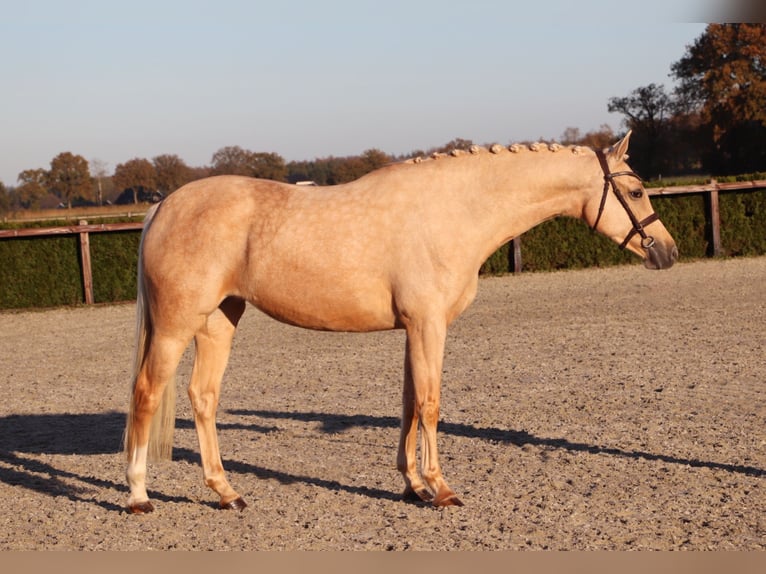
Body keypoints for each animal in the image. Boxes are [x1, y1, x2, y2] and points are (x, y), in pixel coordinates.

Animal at [124, 133, 680, 516]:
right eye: (636, 190)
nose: (668, 253)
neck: (454, 210)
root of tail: (163, 206)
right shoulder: (428, 325)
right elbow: (431, 405)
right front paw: (442, 488)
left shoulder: (416, 329)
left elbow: (411, 405)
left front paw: (413, 486)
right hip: (175, 326)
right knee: (147, 393)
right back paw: (137, 495)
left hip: (219, 320)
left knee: (202, 397)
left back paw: (227, 493)